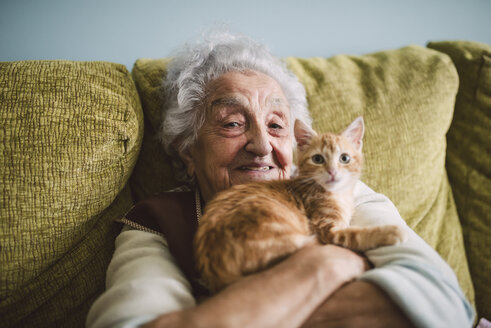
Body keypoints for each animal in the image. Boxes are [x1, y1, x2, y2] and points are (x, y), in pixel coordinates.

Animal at [195, 116, 408, 290]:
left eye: (345, 158)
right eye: (318, 159)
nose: (332, 172)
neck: (336, 195)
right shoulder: (328, 230)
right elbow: (355, 235)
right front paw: (390, 231)